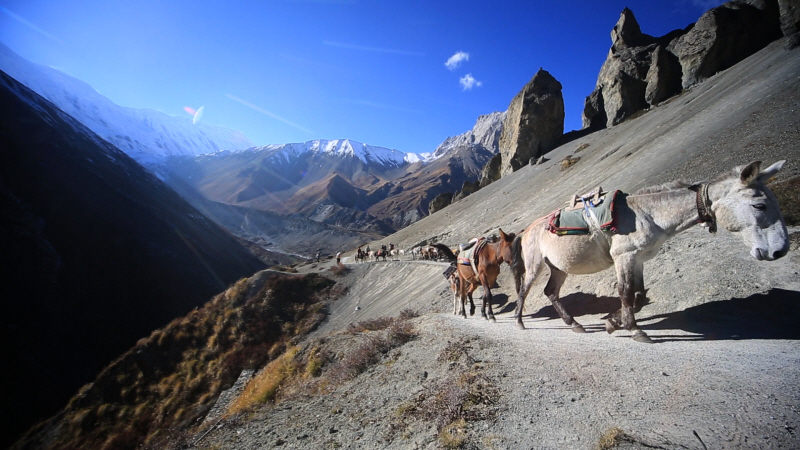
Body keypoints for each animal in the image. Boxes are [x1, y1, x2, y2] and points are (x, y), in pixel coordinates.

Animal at [511, 161, 789, 343]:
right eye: (759, 205)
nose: (780, 250)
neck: (649, 214)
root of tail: (526, 230)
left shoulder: (639, 259)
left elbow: (638, 295)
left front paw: (613, 322)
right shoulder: (624, 257)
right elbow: (625, 292)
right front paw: (635, 330)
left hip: (558, 267)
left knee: (551, 292)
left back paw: (575, 325)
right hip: (535, 265)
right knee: (524, 290)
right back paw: (520, 322)